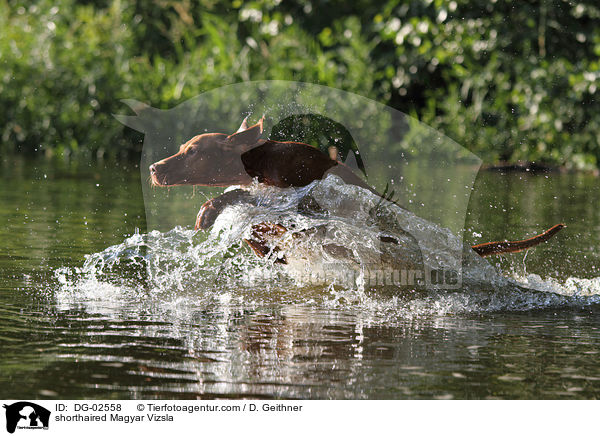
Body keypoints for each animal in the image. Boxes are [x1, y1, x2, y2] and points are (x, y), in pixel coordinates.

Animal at [149, 116, 564, 258]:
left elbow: (244, 198)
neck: (261, 160)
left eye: (191, 151)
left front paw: (209, 210)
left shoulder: (298, 191)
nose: (153, 167)